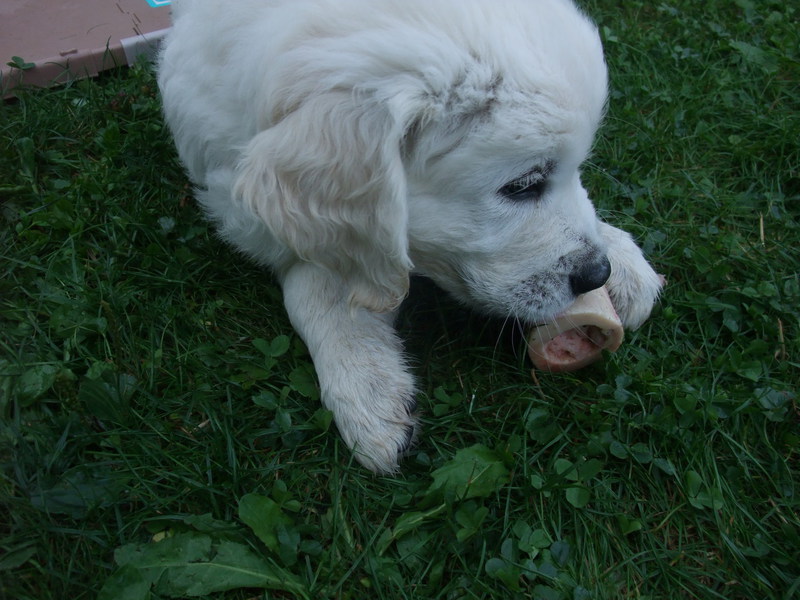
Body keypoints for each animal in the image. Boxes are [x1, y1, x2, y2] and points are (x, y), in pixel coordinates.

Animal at [157, 0, 663, 473]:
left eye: (575, 169)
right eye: (523, 186)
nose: (597, 274)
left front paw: (624, 260)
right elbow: (316, 282)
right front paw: (367, 386)